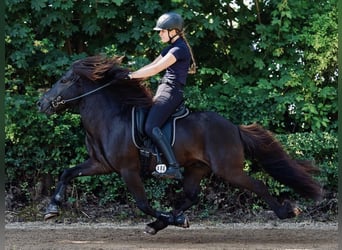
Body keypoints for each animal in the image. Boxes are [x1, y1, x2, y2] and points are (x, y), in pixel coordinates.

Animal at [38, 54, 324, 234]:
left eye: (64, 81)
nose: (41, 104)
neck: (110, 119)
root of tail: (233, 128)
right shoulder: (100, 164)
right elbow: (67, 173)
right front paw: (52, 208)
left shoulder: (128, 170)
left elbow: (143, 204)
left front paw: (168, 219)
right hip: (197, 168)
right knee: (191, 195)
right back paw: (168, 221)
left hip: (228, 169)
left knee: (258, 185)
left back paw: (287, 211)